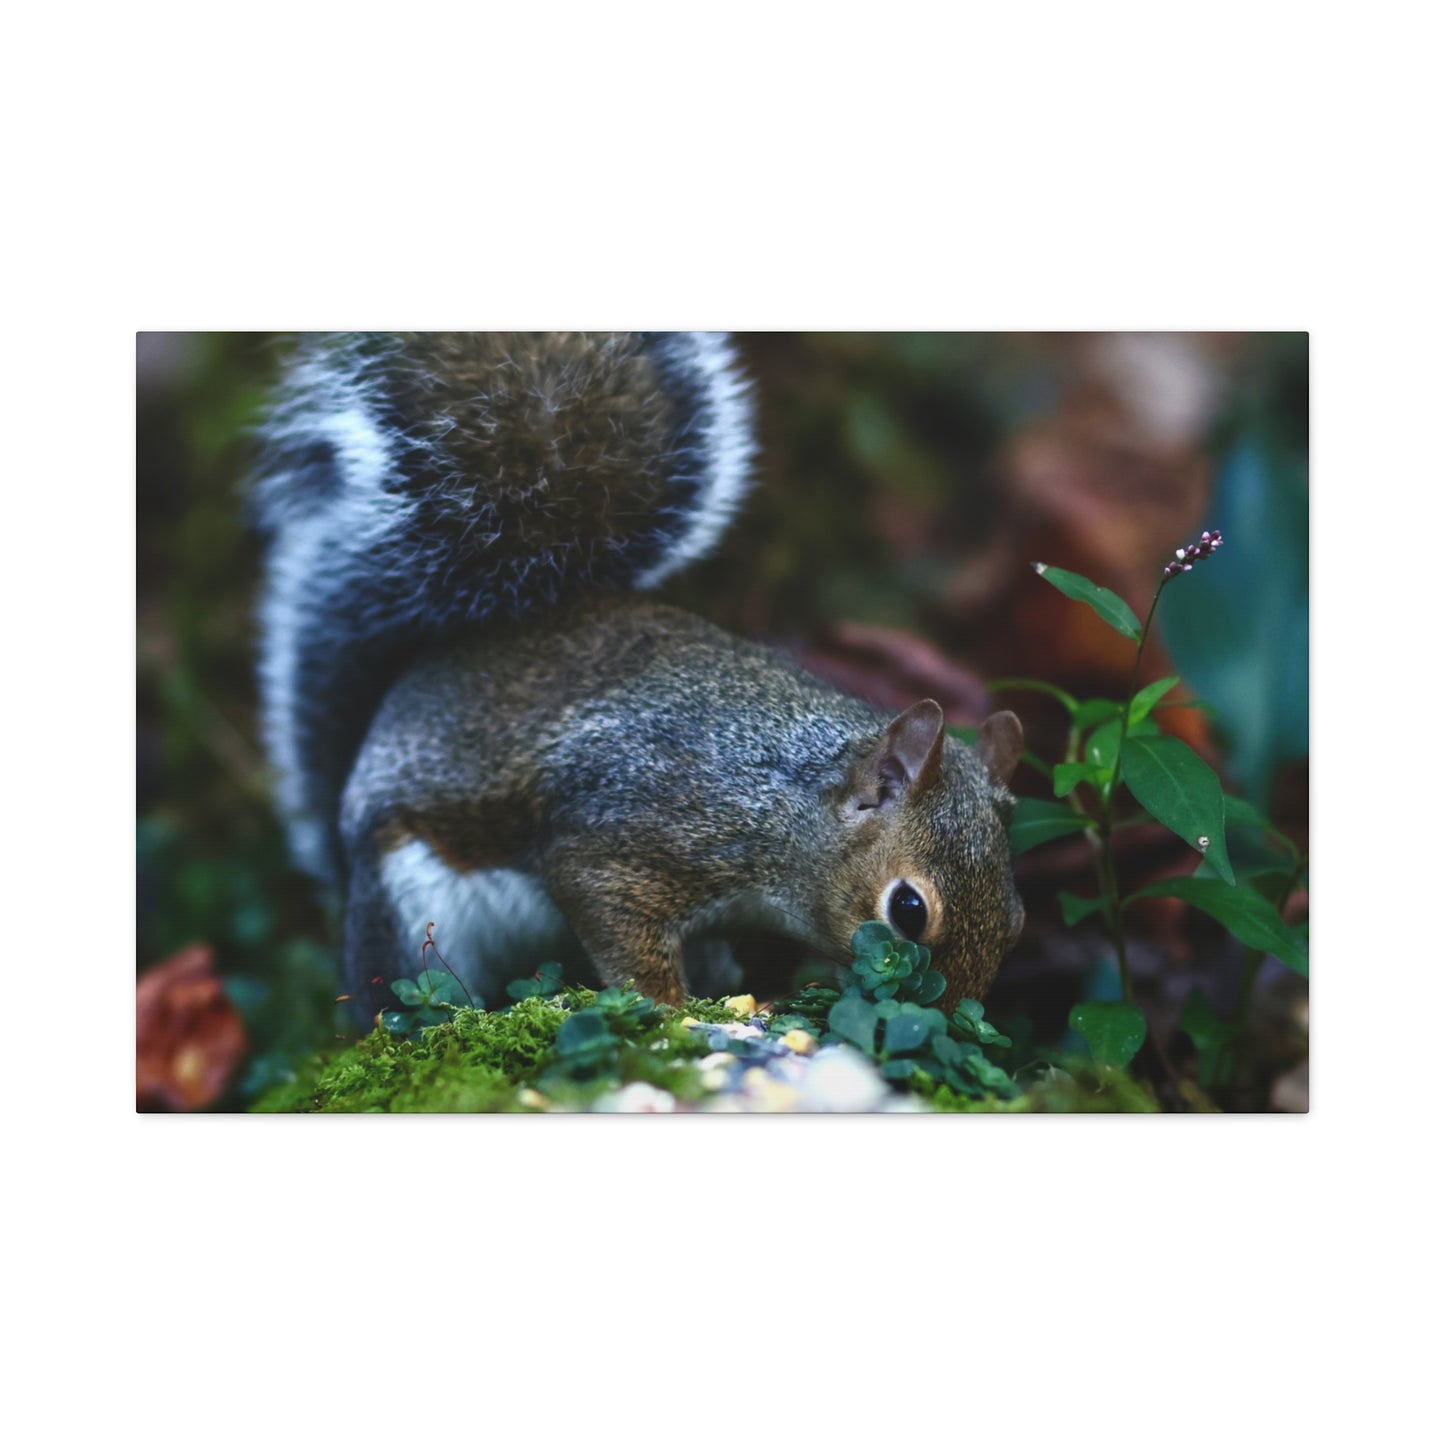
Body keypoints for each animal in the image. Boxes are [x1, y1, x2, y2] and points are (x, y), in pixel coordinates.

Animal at [253, 332, 1025, 1023]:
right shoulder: (638, 829)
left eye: (1016, 917)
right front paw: (667, 1008)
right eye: (908, 909)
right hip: (410, 904)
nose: (951, 1014)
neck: (788, 800)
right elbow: (606, 908)